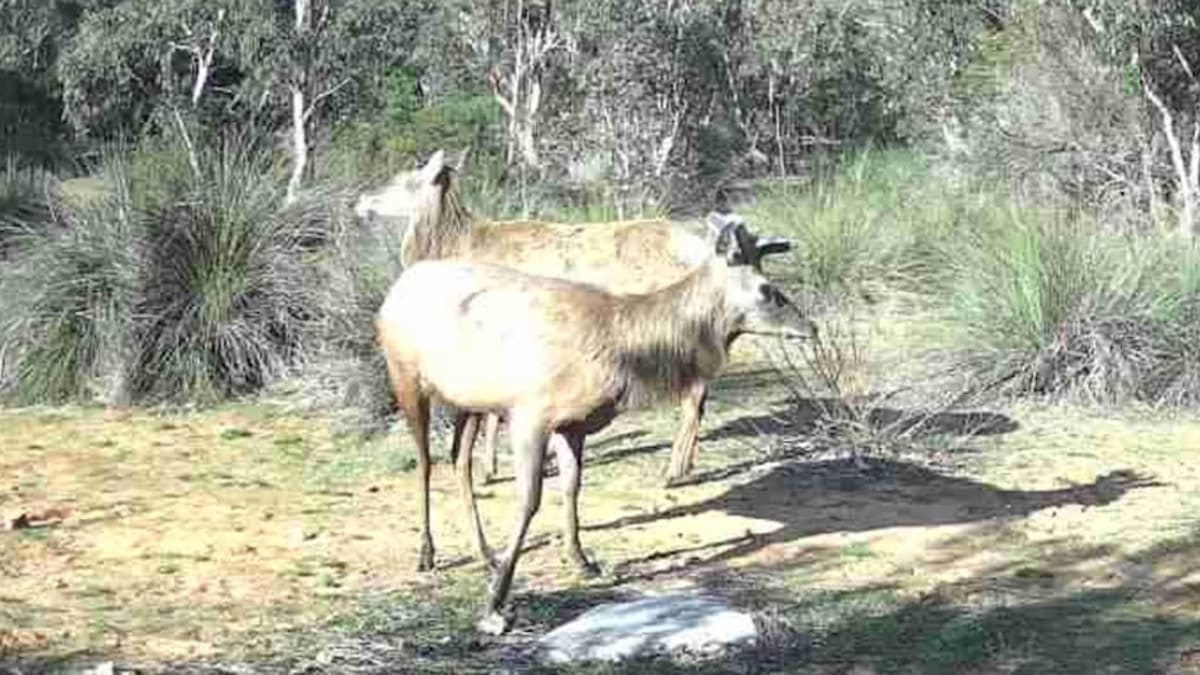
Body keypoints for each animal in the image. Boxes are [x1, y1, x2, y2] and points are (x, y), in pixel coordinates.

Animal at [355, 150, 792, 487]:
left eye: (404, 179)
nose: (360, 201)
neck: (452, 243)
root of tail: (701, 248)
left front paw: (492, 468)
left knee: (696, 393)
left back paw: (674, 470)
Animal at [375, 220, 813, 634]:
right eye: (767, 289)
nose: (809, 327)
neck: (626, 353)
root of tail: (394, 289)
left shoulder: (573, 424)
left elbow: (572, 487)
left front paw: (580, 558)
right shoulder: (530, 413)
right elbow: (529, 501)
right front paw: (496, 602)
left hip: (470, 401)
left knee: (458, 459)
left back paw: (484, 552)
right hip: (406, 378)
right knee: (426, 462)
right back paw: (428, 553)